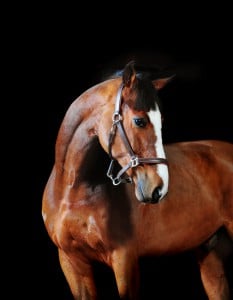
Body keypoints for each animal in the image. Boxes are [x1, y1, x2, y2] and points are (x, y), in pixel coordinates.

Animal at [41, 59, 233, 298]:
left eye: (161, 121)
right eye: (140, 121)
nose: (159, 188)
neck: (73, 192)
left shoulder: (125, 260)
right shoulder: (71, 262)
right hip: (209, 251)